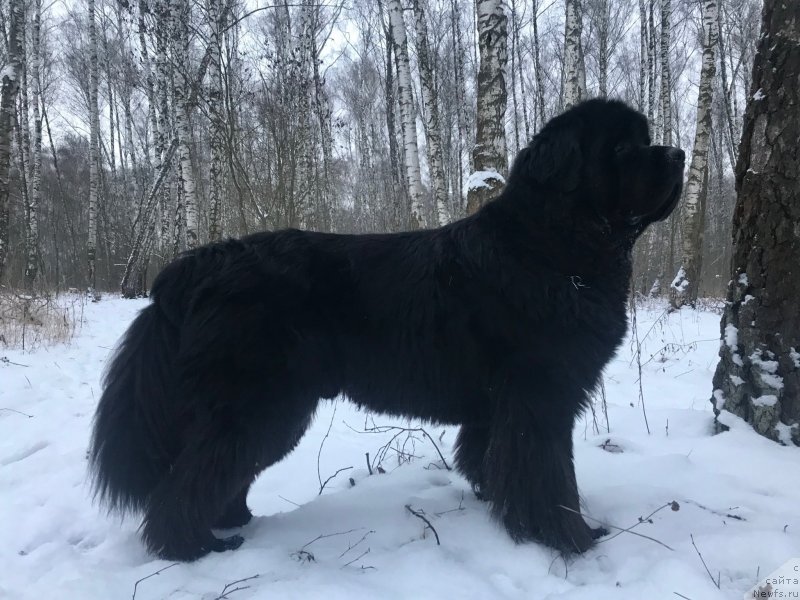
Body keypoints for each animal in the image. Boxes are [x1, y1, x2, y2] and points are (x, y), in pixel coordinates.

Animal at [90, 99, 684, 564]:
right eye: (623, 149)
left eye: (646, 140)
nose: (678, 155)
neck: (555, 248)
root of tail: (194, 265)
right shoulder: (541, 398)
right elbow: (550, 477)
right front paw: (573, 539)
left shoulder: (498, 406)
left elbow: (492, 462)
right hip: (257, 404)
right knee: (188, 481)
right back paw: (192, 547)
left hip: (267, 411)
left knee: (218, 472)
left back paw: (232, 524)